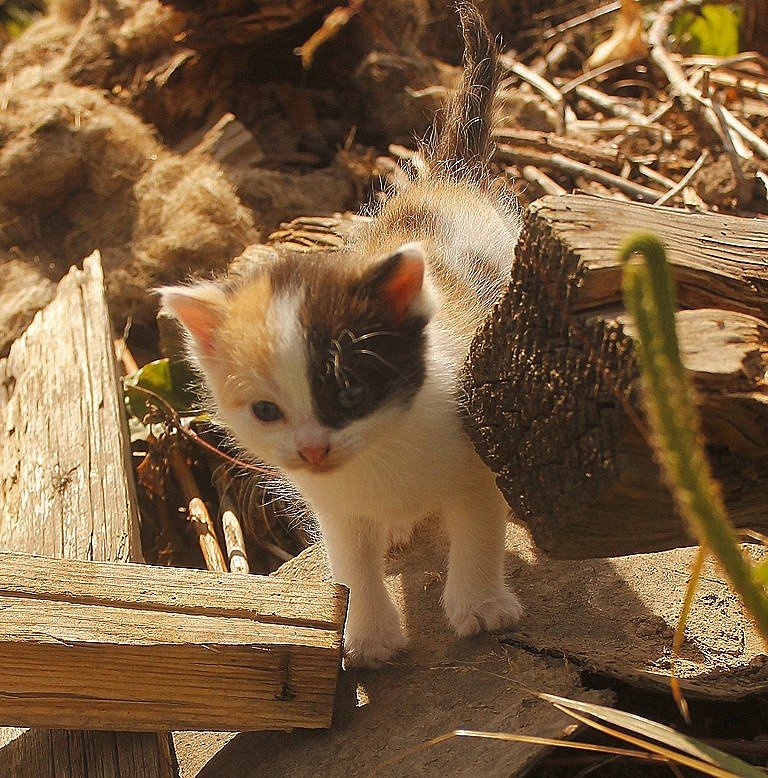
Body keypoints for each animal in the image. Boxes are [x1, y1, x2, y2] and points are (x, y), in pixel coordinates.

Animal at [160, 1, 524, 668]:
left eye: (351, 392)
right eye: (266, 411)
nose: (312, 450)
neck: (383, 451)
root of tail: (448, 181)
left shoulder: (476, 456)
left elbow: (480, 531)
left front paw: (480, 606)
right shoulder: (334, 503)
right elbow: (352, 561)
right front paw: (370, 634)